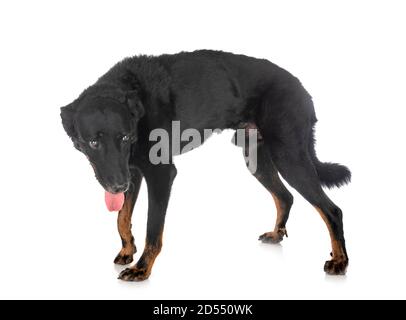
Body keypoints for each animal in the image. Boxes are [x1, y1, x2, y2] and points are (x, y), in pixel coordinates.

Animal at [60, 49, 348, 280]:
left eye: (124, 137)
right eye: (93, 142)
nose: (118, 186)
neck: (133, 98)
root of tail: (302, 88)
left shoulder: (160, 174)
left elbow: (152, 229)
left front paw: (142, 268)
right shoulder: (132, 172)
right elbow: (122, 217)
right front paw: (127, 249)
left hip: (289, 157)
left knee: (332, 210)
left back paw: (340, 261)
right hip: (258, 160)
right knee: (286, 196)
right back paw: (277, 235)